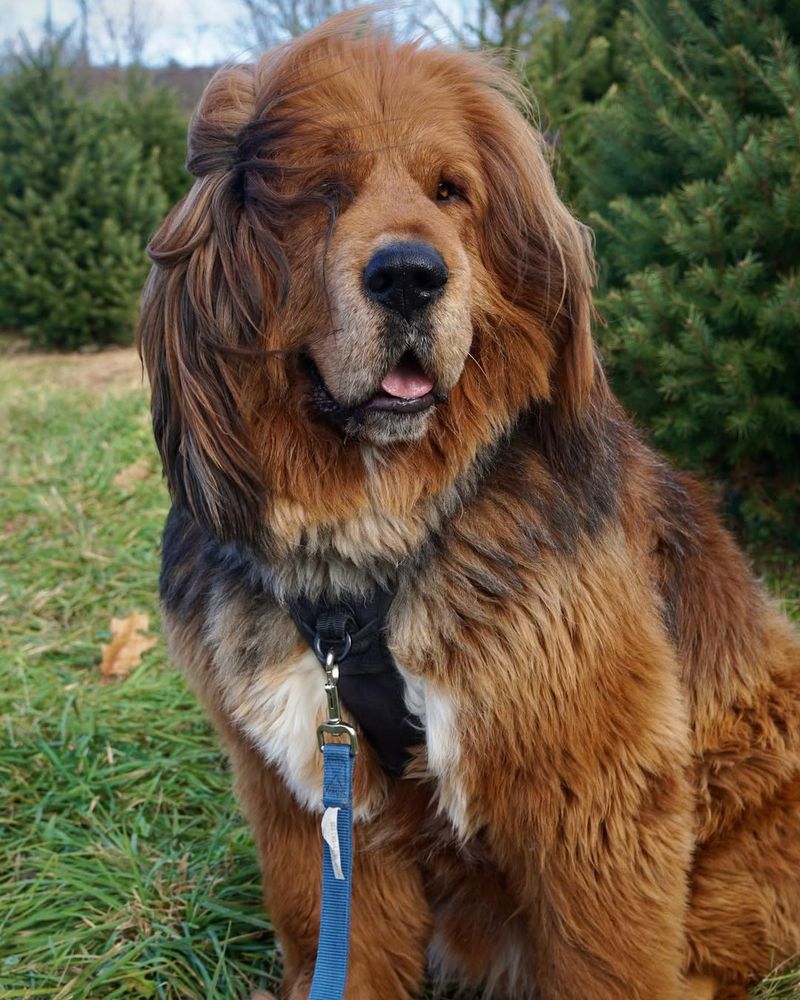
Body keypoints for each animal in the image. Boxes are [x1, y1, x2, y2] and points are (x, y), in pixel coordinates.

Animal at [138, 9, 800, 1000]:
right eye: (322, 191)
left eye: (450, 191)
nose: (410, 276)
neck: (376, 531)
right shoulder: (317, 806)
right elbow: (345, 951)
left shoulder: (590, 790)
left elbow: (608, 964)